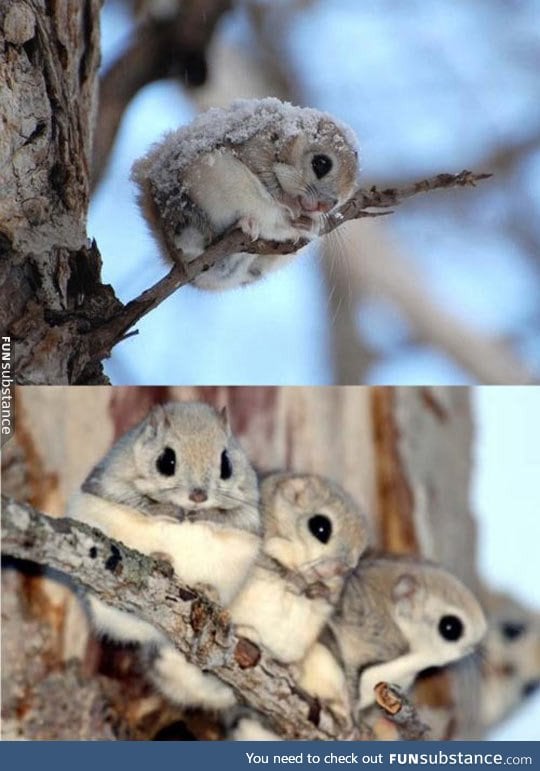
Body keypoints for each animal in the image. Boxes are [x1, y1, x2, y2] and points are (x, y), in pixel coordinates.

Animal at [66, 404, 260, 712]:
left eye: (226, 464)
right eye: (166, 461)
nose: (198, 496)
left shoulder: (249, 513)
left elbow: (233, 517)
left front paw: (206, 514)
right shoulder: (109, 482)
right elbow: (138, 501)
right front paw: (168, 509)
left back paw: (208, 592)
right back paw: (161, 559)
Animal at [130, 96, 358, 290]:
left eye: (341, 199)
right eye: (321, 163)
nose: (325, 206)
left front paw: (311, 223)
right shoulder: (256, 147)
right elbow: (267, 179)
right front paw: (289, 204)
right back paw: (244, 224)